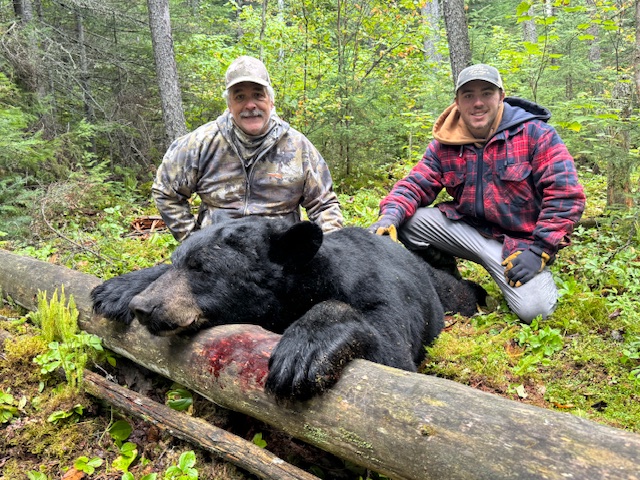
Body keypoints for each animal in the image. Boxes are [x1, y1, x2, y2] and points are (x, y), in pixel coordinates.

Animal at [91, 217, 486, 401]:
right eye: (179, 261)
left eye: (202, 269)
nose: (145, 307)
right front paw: (120, 288)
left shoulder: (379, 290)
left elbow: (392, 350)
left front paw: (302, 352)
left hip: (445, 295)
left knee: (460, 292)